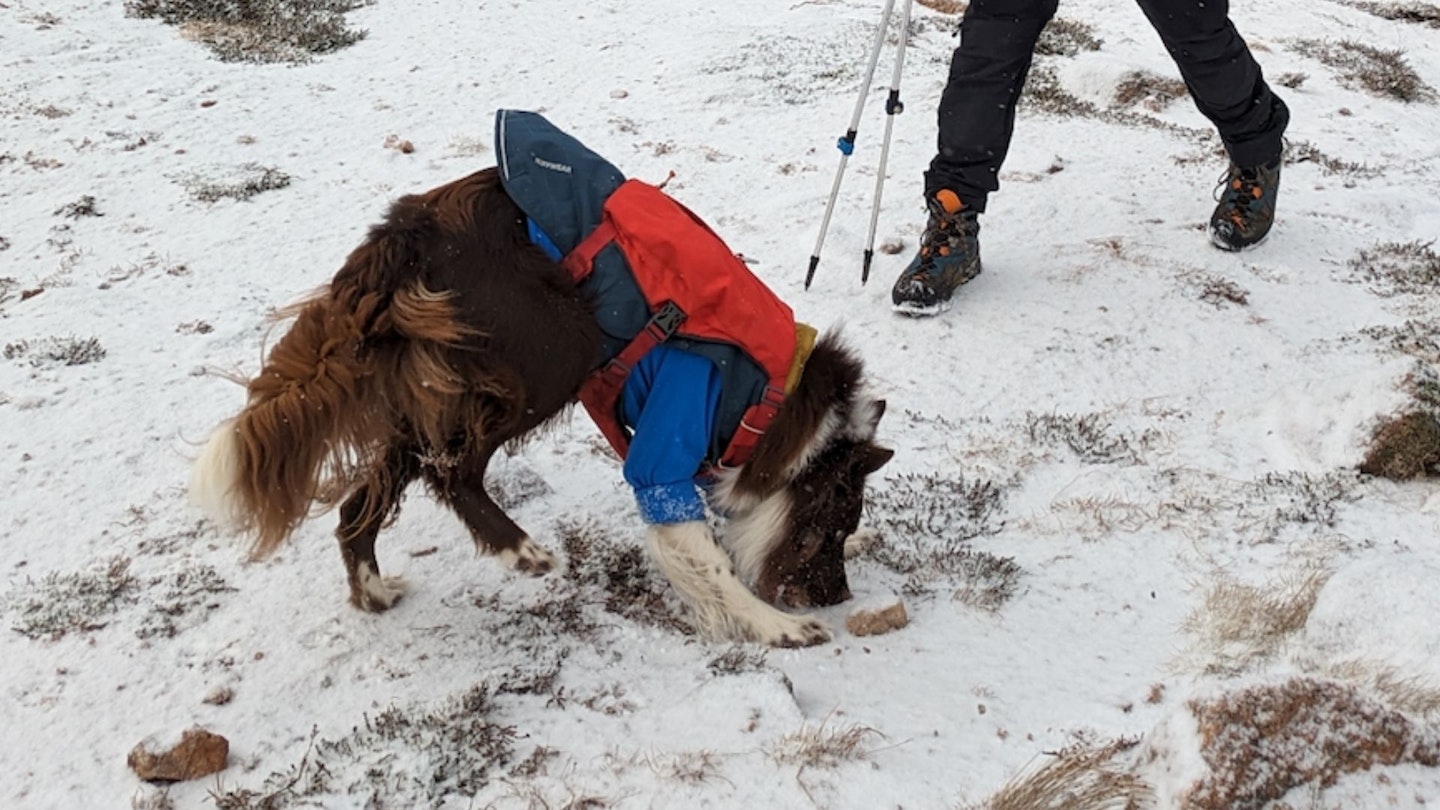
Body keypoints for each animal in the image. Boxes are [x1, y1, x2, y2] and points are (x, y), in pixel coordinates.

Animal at [188, 167, 887, 645]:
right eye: (830, 526)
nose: (836, 598)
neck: (774, 407)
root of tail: (404, 234)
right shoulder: (668, 437)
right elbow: (708, 558)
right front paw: (775, 625)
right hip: (554, 350)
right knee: (452, 473)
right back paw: (520, 550)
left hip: (430, 395)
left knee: (363, 504)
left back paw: (376, 593)